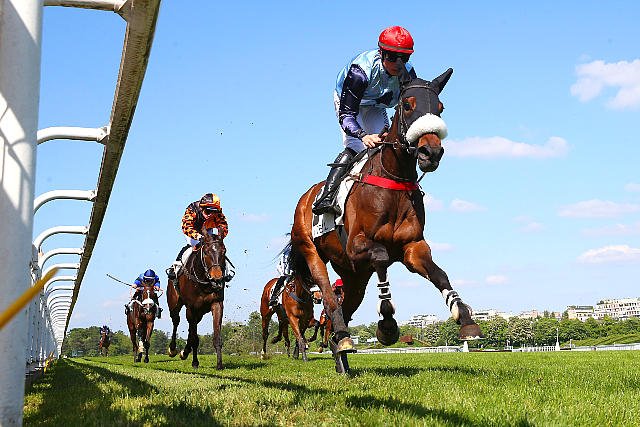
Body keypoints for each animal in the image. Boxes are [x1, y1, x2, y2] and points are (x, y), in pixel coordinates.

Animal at [167, 227, 232, 369]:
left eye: (224, 251)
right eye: (207, 252)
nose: (217, 278)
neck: (203, 281)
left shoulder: (216, 304)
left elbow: (216, 337)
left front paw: (219, 364)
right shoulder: (191, 307)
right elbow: (195, 338)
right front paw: (195, 362)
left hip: (199, 312)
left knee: (191, 328)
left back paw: (185, 351)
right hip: (175, 303)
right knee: (176, 320)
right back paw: (173, 349)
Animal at [289, 64, 483, 373]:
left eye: (440, 108)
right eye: (408, 105)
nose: (431, 152)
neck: (393, 179)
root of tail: (305, 197)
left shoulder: (412, 247)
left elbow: (439, 273)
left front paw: (466, 320)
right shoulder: (357, 246)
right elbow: (380, 256)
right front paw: (388, 324)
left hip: (354, 276)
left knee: (344, 306)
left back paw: (341, 352)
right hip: (313, 251)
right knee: (329, 296)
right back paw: (342, 336)